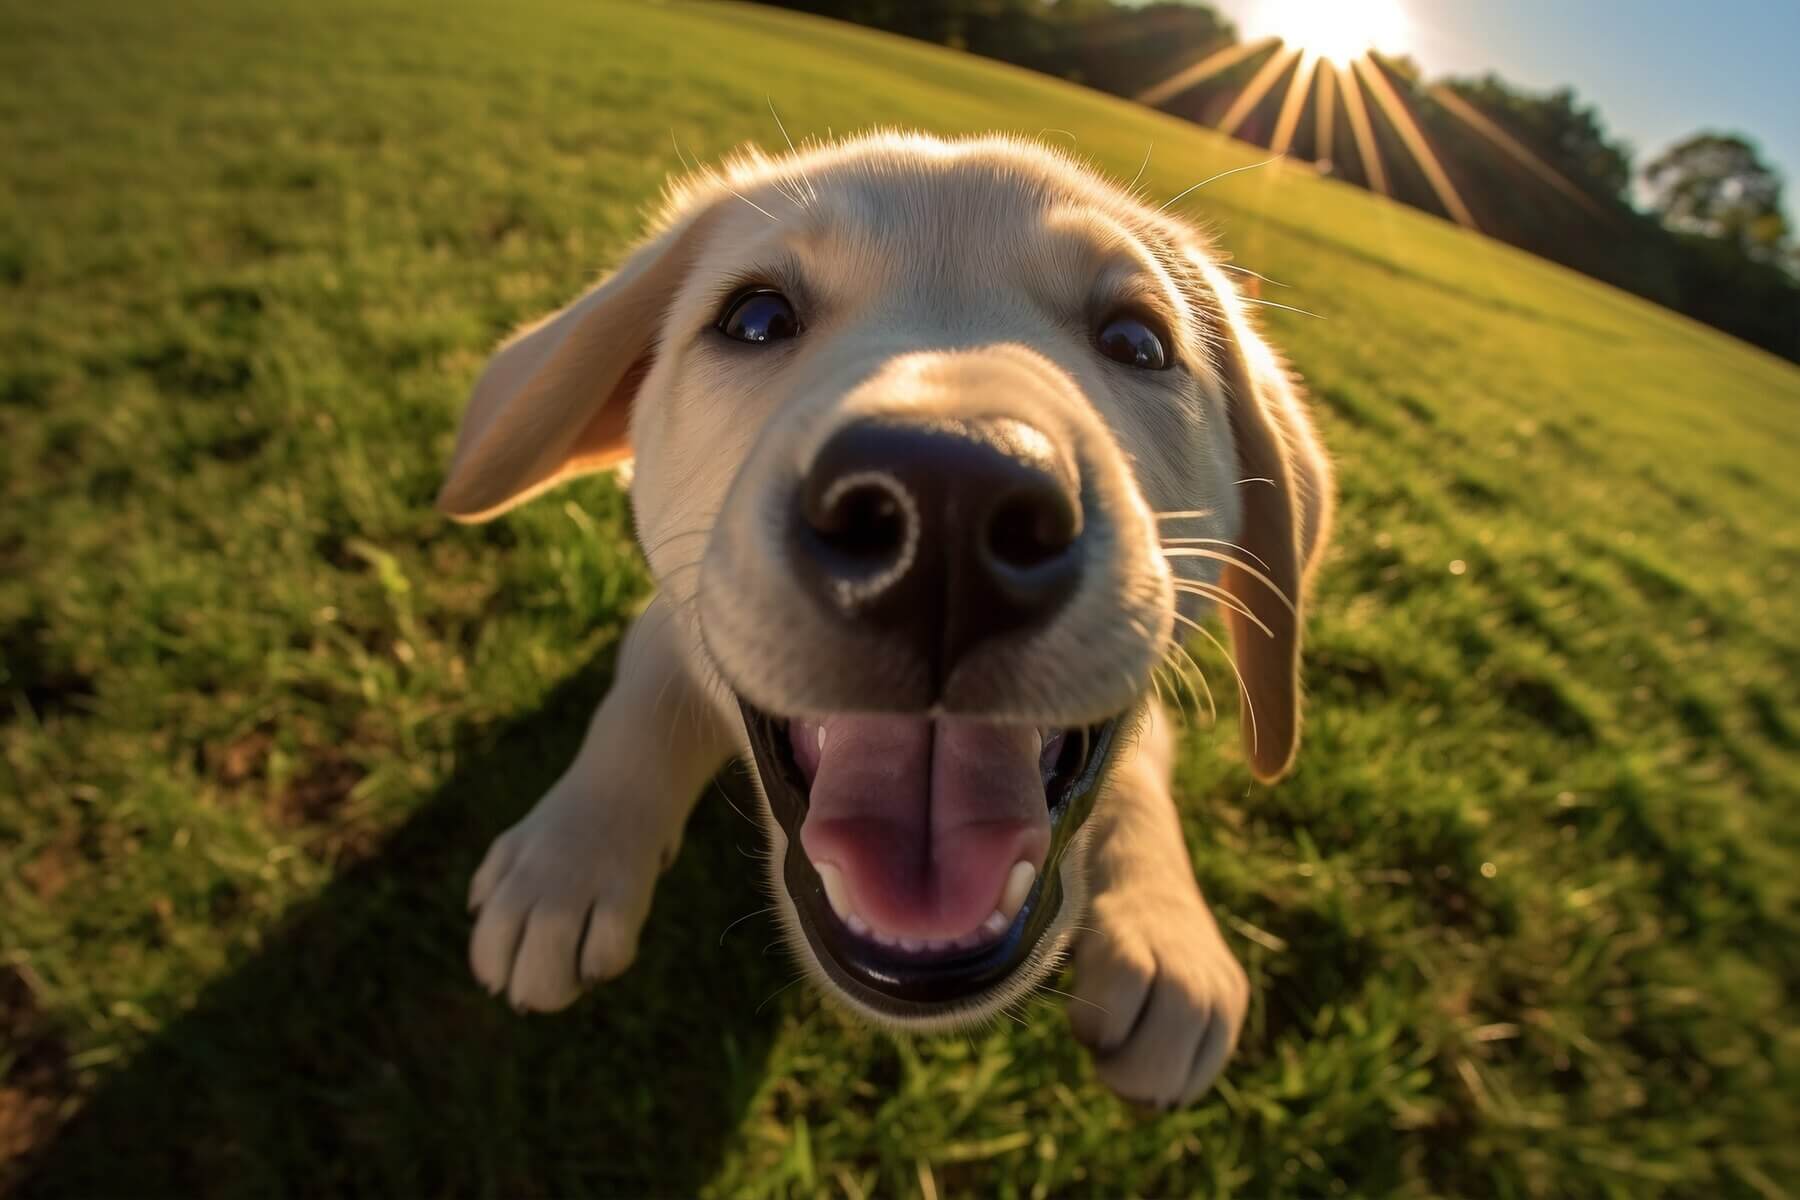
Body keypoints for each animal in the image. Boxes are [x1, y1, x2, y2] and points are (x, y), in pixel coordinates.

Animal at [441, 131, 1332, 1108]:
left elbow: (1139, 771)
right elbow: (642, 705)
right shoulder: (673, 619)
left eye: (1138, 341)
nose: (948, 501)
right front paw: (565, 861)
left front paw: (1163, 929)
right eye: (756, 319)